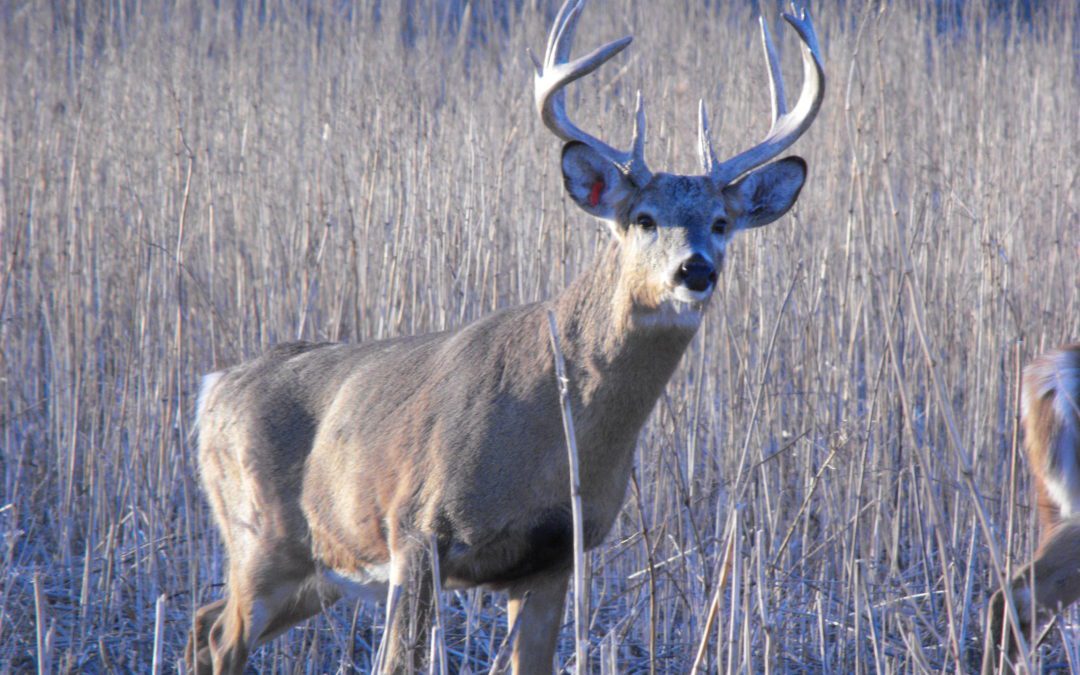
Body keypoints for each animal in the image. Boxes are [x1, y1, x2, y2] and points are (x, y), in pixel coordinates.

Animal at [185, 1, 824, 672]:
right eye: (643, 219)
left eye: (722, 222)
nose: (695, 269)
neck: (551, 430)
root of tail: (213, 387)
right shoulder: (417, 529)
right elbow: (398, 661)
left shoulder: (555, 555)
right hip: (261, 536)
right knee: (222, 635)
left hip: (318, 570)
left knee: (203, 621)